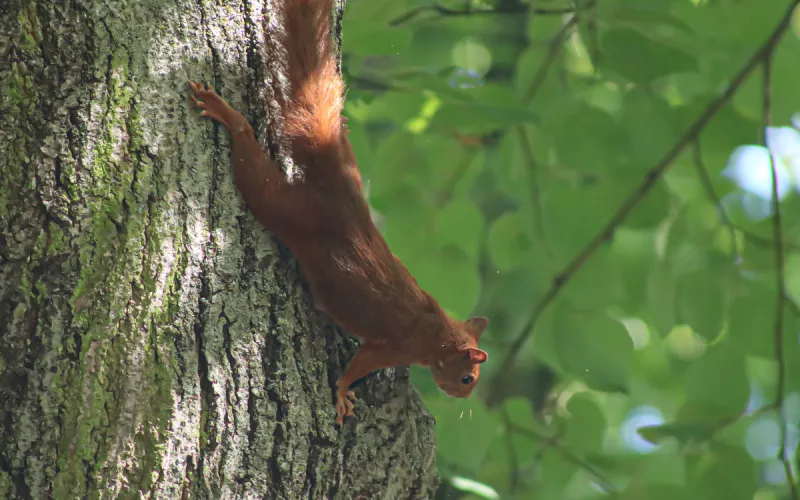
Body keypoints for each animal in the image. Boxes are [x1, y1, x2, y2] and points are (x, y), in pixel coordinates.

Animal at [189, 0, 488, 426]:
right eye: (467, 378)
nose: (462, 397)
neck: (437, 332)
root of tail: (336, 177)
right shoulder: (393, 346)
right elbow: (358, 366)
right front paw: (344, 392)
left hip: (346, 163)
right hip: (286, 208)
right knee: (251, 162)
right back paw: (227, 114)